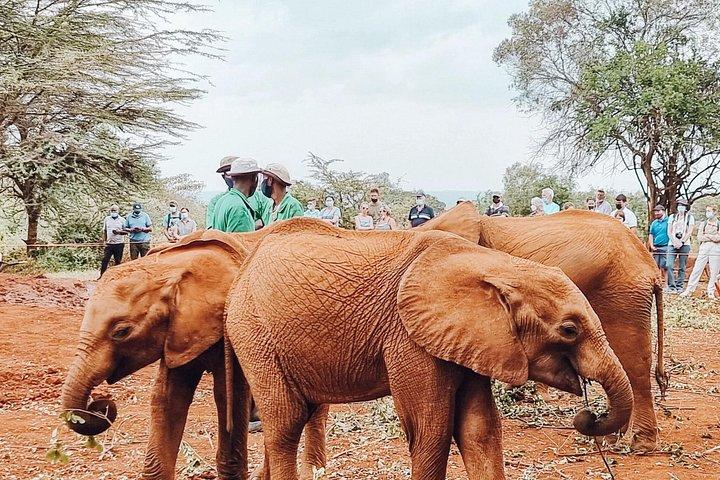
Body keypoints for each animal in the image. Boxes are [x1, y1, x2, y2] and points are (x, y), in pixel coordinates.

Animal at [224, 227, 634, 480]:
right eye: (569, 330)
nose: (588, 416)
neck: (494, 264)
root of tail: (243, 269)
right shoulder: (409, 337)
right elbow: (430, 431)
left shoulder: (472, 339)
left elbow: (480, 429)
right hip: (254, 331)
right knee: (286, 422)